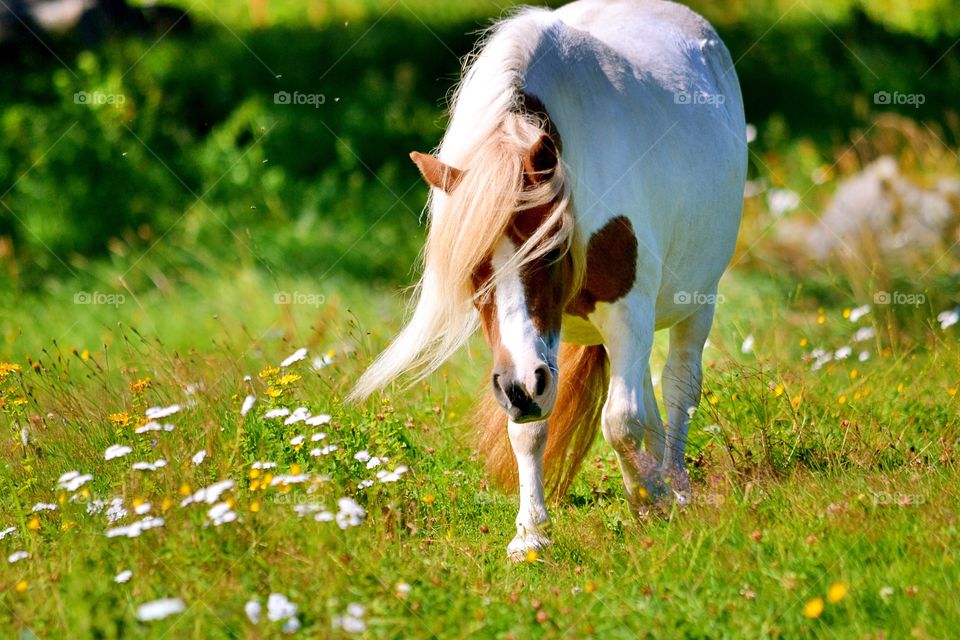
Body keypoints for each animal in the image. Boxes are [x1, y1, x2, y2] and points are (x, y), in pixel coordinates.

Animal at [350, 0, 747, 561]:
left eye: (551, 249)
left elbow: (621, 421)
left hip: (697, 303)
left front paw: (650, 500)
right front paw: (531, 533)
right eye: (471, 270)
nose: (520, 388)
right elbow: (531, 433)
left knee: (676, 388)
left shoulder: (626, 313)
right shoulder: (528, 359)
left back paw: (675, 485)